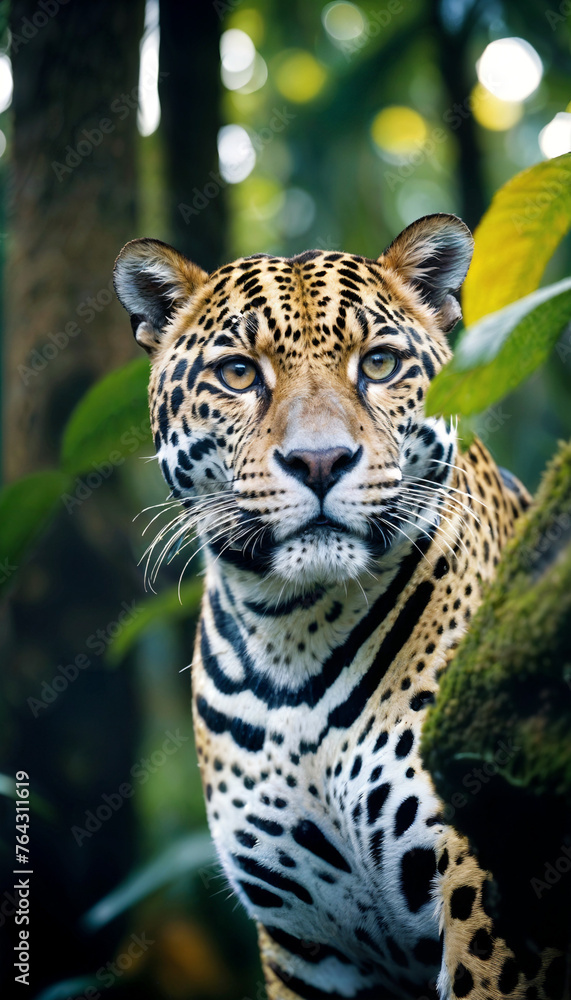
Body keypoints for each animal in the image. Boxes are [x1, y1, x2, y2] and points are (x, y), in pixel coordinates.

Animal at [113, 214, 566, 1000]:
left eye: (378, 365)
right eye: (239, 374)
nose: (320, 462)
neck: (293, 632)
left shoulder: (487, 881)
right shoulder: (305, 944)